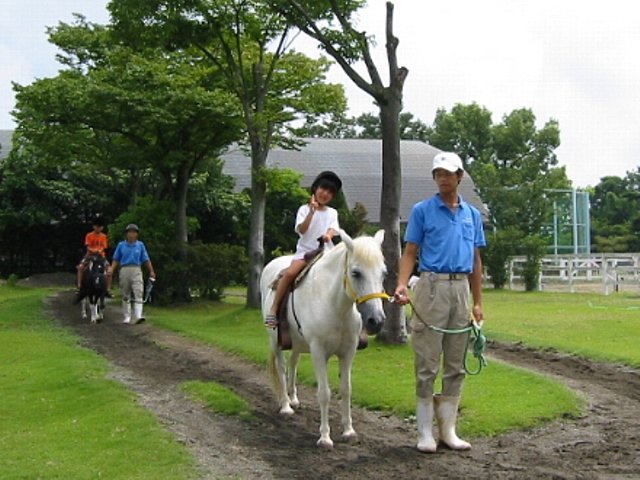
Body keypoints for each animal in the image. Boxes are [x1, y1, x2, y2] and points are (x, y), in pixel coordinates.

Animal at [261, 229, 387, 448]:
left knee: (293, 363)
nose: (376, 321)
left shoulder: (348, 352)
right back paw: (286, 406)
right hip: (275, 341)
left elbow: (346, 390)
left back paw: (293, 399)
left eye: (384, 273)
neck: (335, 306)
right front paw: (325, 437)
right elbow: (324, 394)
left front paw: (348, 431)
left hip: (297, 343)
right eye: (356, 273)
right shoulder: (319, 352)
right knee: (282, 367)